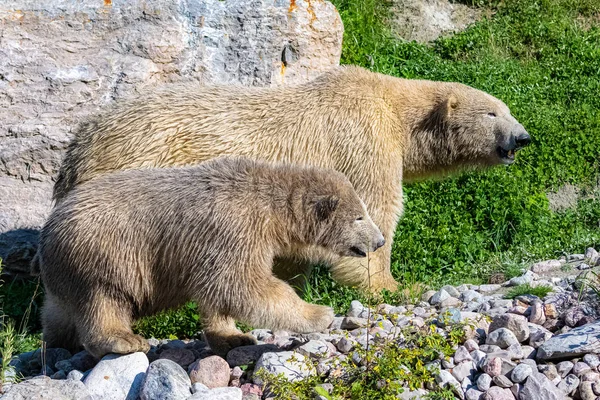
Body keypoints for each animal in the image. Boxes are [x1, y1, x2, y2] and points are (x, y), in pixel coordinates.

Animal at [51, 65, 528, 294]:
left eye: (506, 108)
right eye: (493, 113)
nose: (523, 137)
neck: (395, 110)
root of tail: (78, 149)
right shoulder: (364, 141)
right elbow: (376, 209)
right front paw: (393, 285)